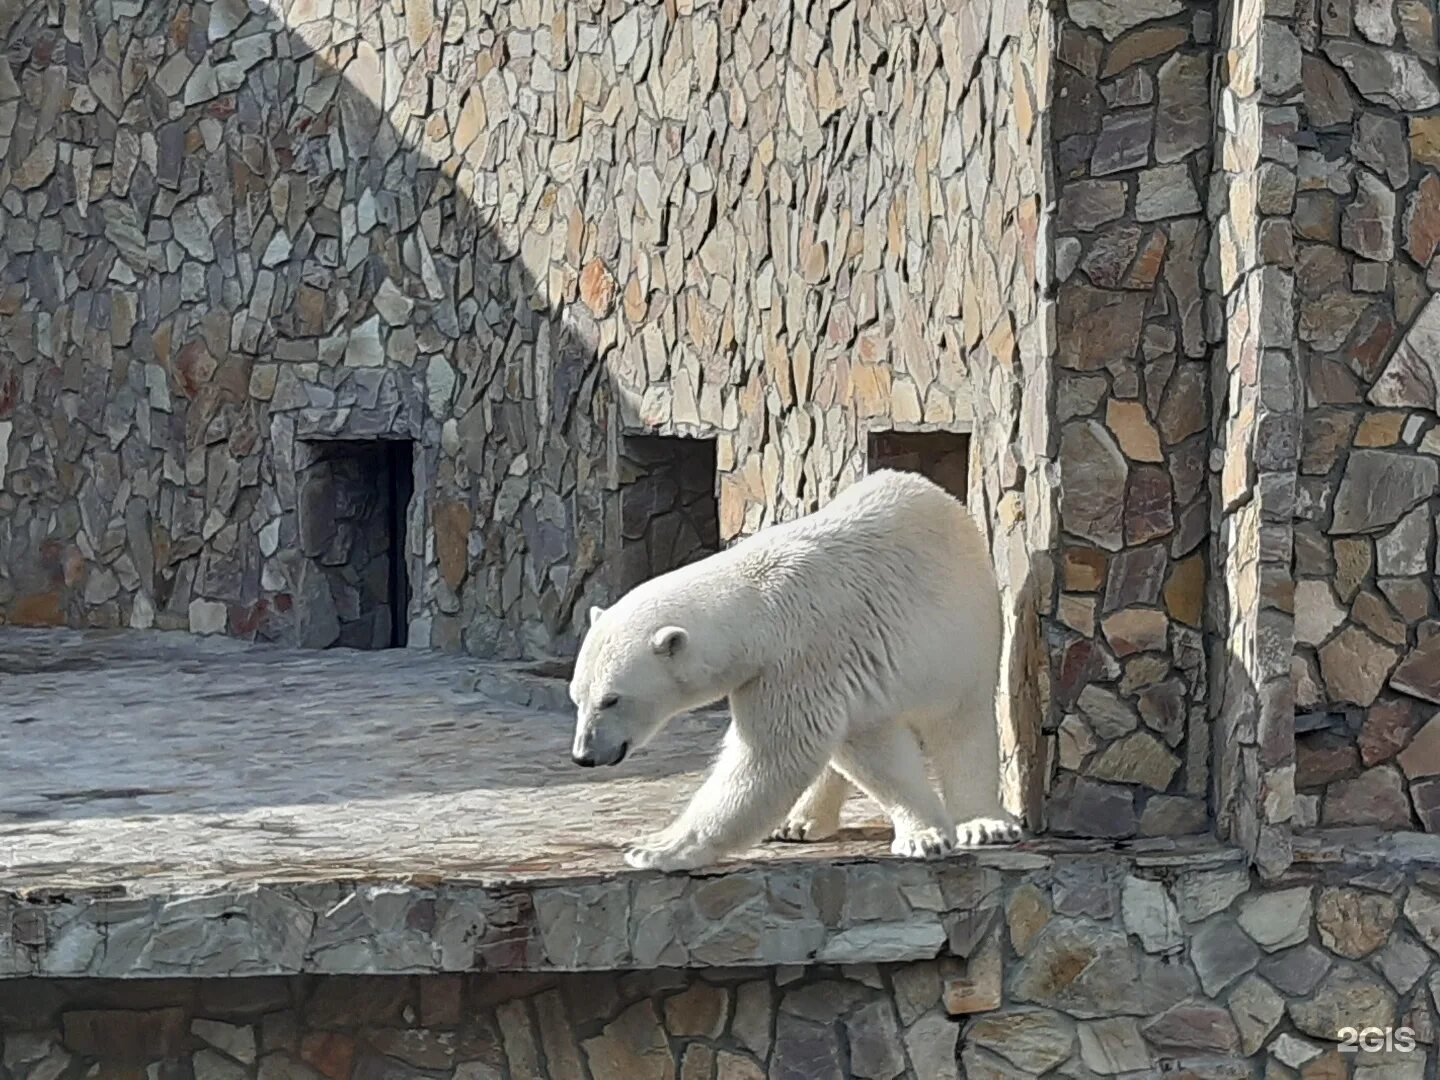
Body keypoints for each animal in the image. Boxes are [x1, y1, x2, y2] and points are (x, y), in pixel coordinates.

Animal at [567, 469, 1019, 875]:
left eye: (611, 699)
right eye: (577, 698)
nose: (584, 755)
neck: (758, 606)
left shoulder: (802, 657)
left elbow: (771, 755)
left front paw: (655, 848)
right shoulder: (828, 671)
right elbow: (866, 747)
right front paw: (924, 832)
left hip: (961, 641)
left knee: (960, 726)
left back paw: (983, 823)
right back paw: (798, 823)